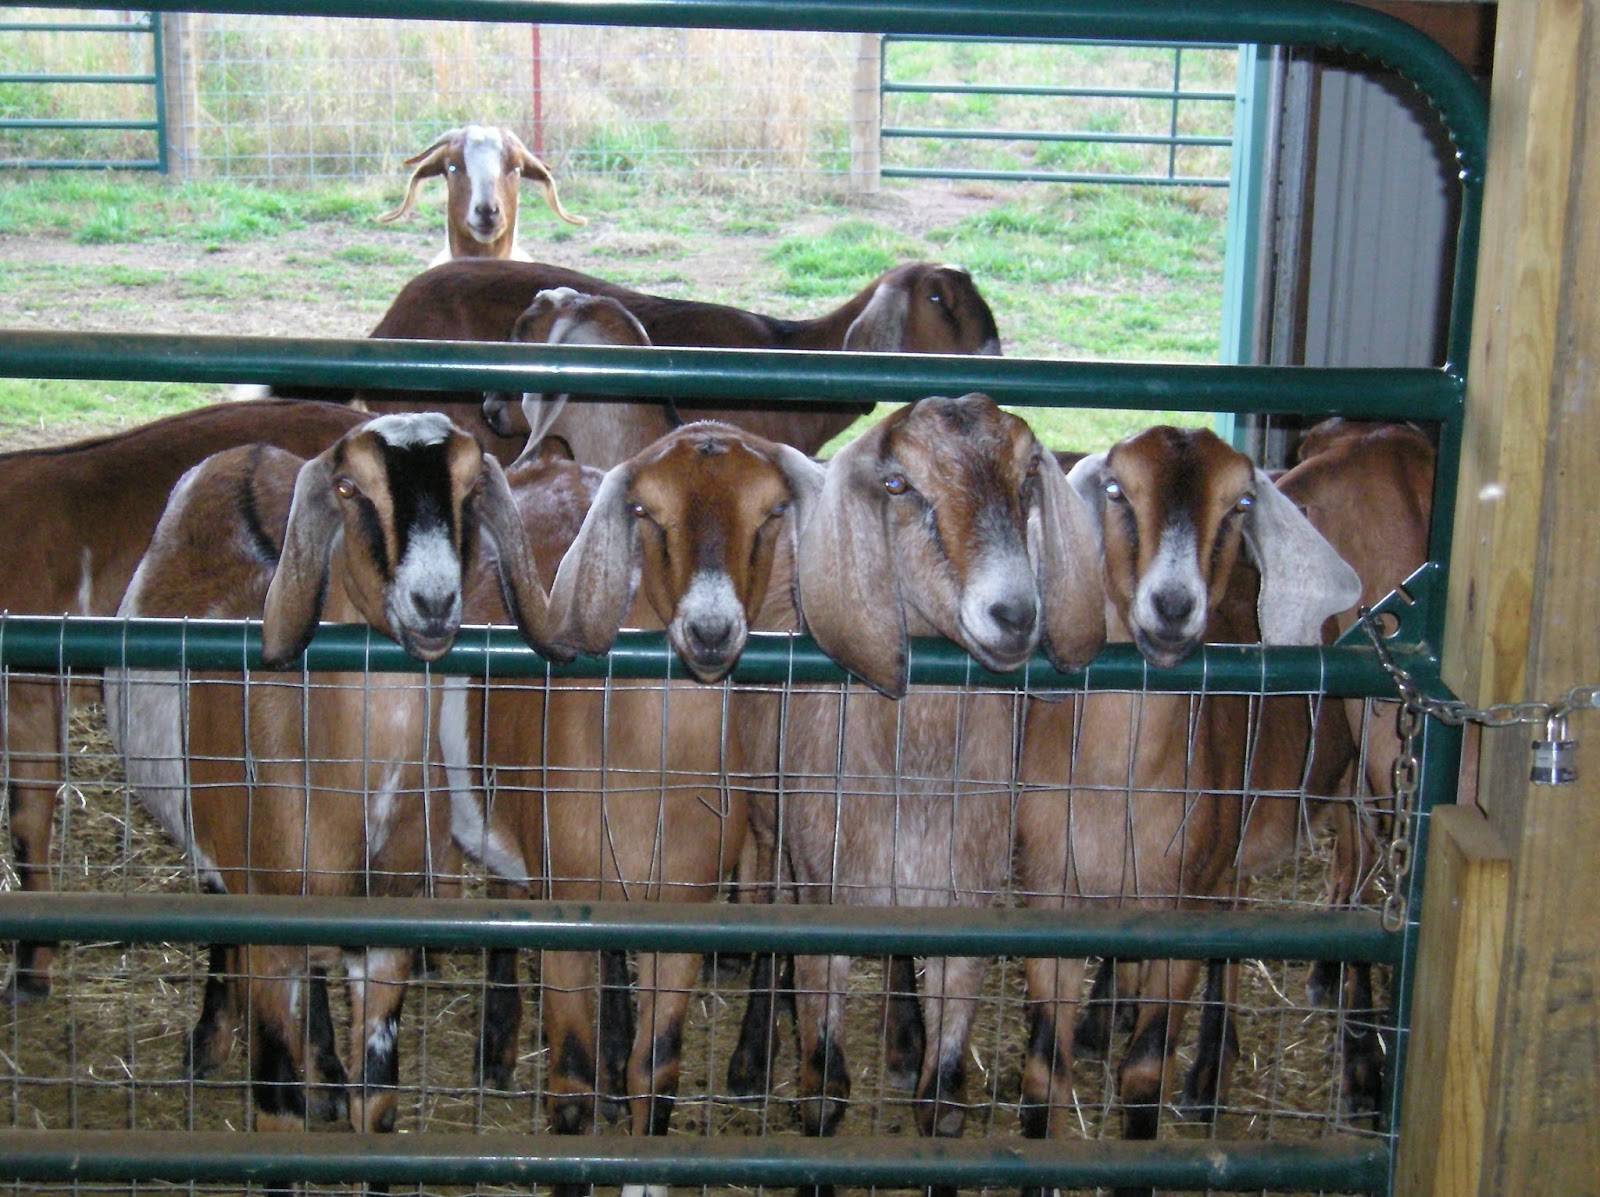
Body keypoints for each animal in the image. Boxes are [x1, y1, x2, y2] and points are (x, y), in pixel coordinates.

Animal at [104, 413, 550, 1139]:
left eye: (471, 487)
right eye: (349, 488)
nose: (433, 602)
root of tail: (246, 450)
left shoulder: (388, 930)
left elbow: (380, 1097)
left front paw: (343, 1088)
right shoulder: (272, 926)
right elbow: (277, 1103)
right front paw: (294, 1088)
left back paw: (325, 1075)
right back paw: (211, 1042)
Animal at [447, 419, 823, 1193]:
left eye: (771, 510)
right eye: (648, 511)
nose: (710, 631)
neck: (647, 769)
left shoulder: (681, 910)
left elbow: (660, 1070)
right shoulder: (563, 906)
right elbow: (569, 1079)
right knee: (502, 906)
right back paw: (495, 1051)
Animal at [734, 395, 1102, 1194]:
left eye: (1028, 475)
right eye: (898, 483)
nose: (1015, 614)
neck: (917, 777)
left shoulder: (965, 904)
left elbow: (945, 1102)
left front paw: (923, 1071)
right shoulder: (827, 898)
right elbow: (823, 1089)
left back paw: (903, 1040)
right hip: (768, 826)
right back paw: (749, 1056)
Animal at [1012, 425, 1359, 1197]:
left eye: (1240, 503)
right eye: (1117, 490)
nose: (1173, 607)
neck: (1115, 775)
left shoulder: (1178, 903)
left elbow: (1145, 1072)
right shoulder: (1053, 894)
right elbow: (1043, 1067)